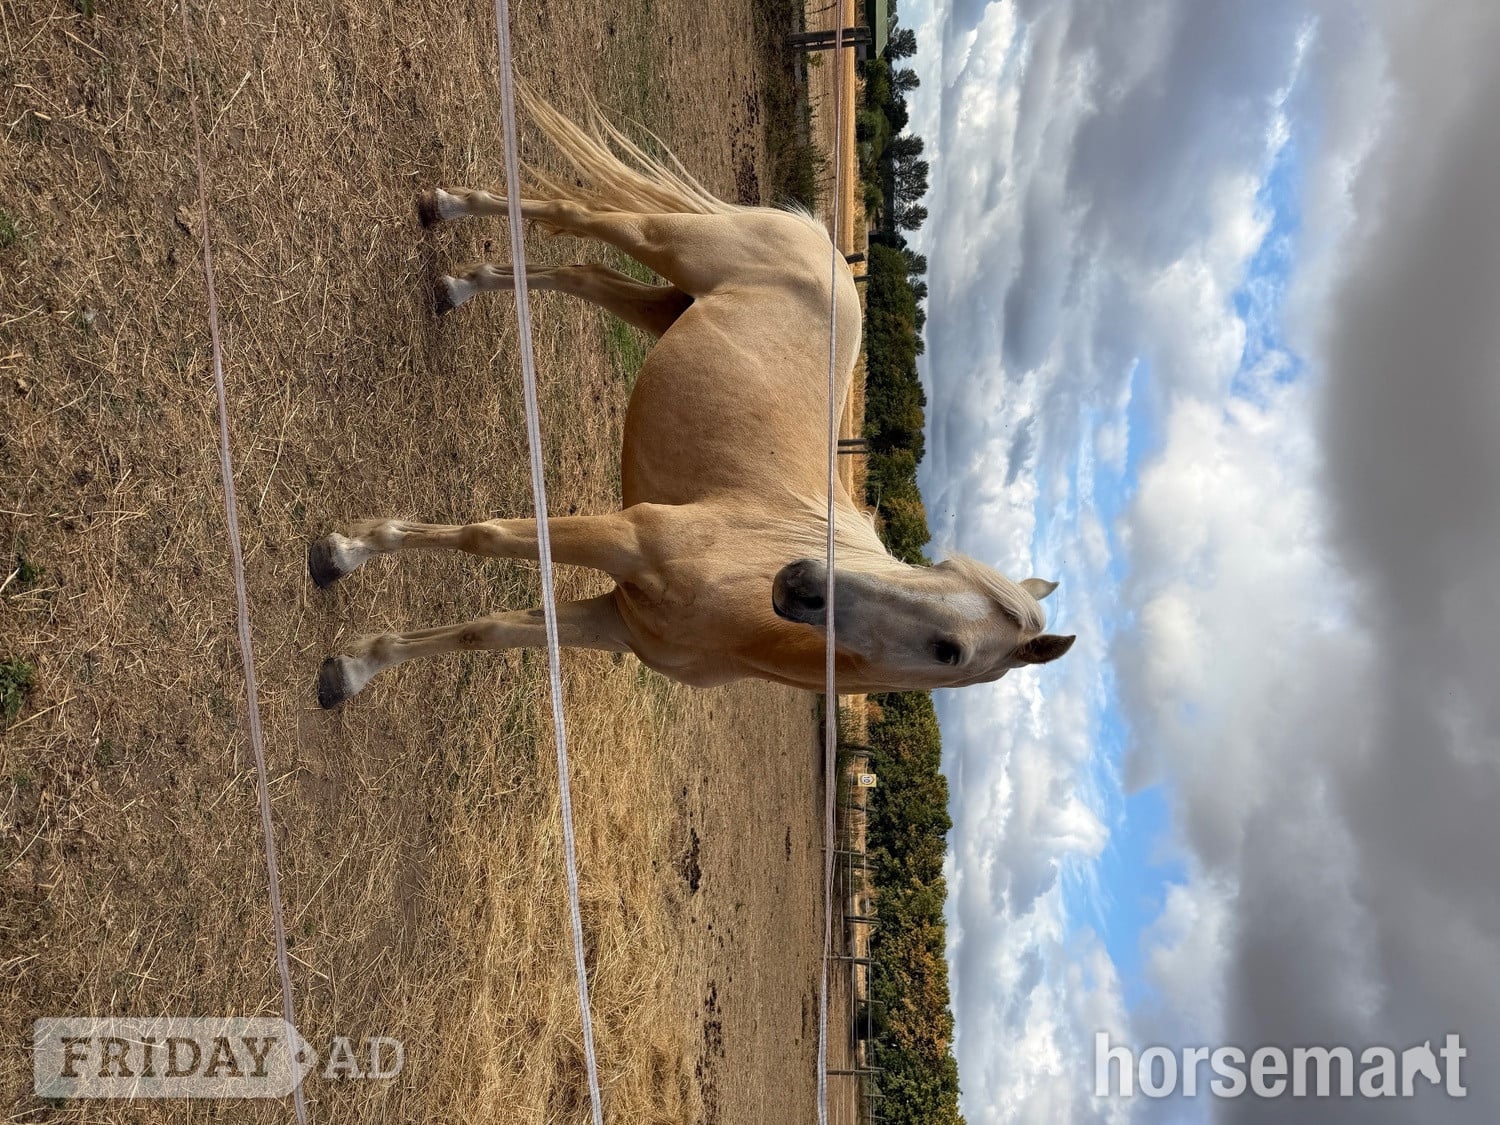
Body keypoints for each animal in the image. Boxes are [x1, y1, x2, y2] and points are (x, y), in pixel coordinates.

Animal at [310, 88, 1074, 708]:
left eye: (950, 650)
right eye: (934, 568)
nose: (802, 583)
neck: (741, 614)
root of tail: (824, 245)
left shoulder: (616, 621)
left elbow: (485, 630)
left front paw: (355, 667)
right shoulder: (626, 539)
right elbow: (487, 536)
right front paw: (345, 551)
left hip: (665, 305)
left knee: (579, 272)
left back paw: (459, 286)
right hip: (664, 243)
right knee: (574, 214)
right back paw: (444, 207)